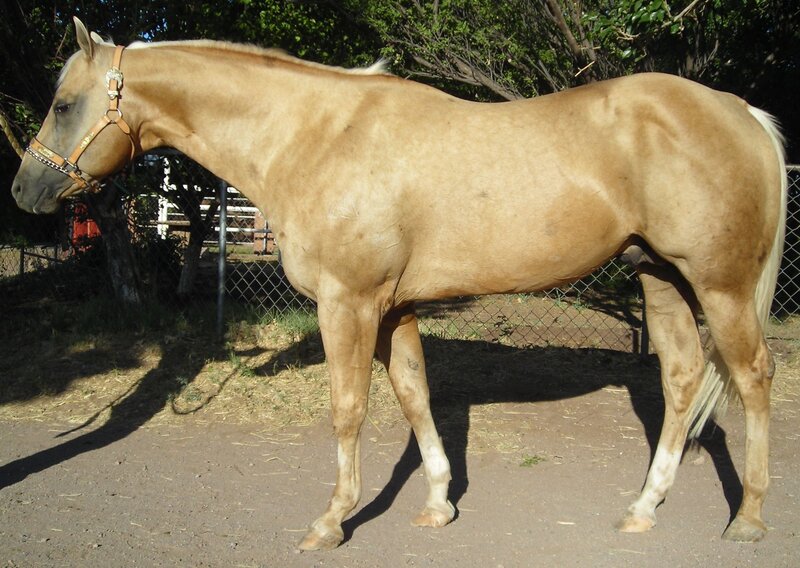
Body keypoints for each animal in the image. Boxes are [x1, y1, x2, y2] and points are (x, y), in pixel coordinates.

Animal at [12, 18, 787, 551]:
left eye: (63, 103)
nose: (24, 190)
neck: (318, 136)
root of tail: (738, 110)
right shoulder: (395, 309)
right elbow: (416, 398)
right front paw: (439, 503)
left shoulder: (348, 304)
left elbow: (348, 409)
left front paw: (331, 521)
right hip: (661, 277)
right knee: (683, 378)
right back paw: (643, 507)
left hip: (718, 286)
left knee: (752, 376)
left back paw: (749, 518)